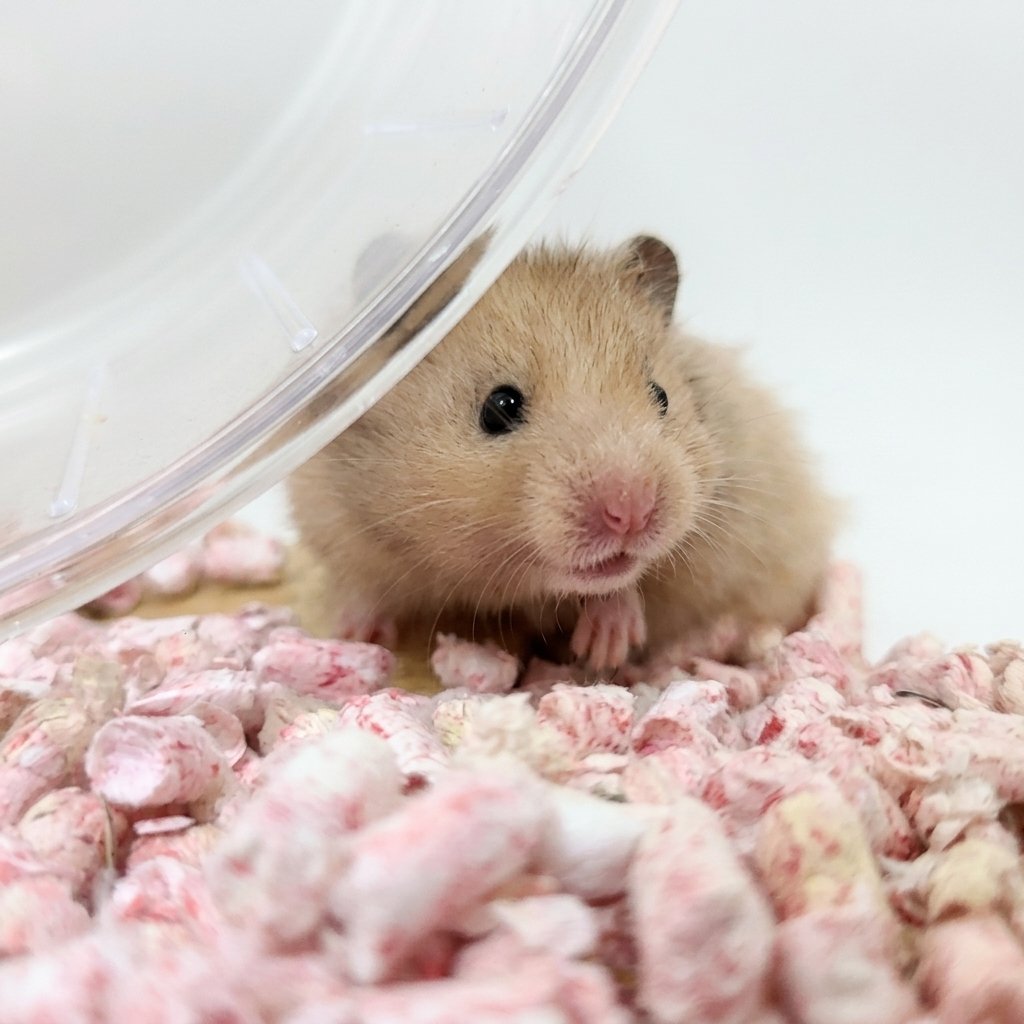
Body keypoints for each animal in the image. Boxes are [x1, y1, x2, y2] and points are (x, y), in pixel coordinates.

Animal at [289, 236, 836, 671]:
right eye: (499, 407)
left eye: (661, 395)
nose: (631, 513)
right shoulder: (334, 518)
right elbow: (359, 586)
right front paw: (350, 637)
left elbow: (626, 585)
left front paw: (604, 647)